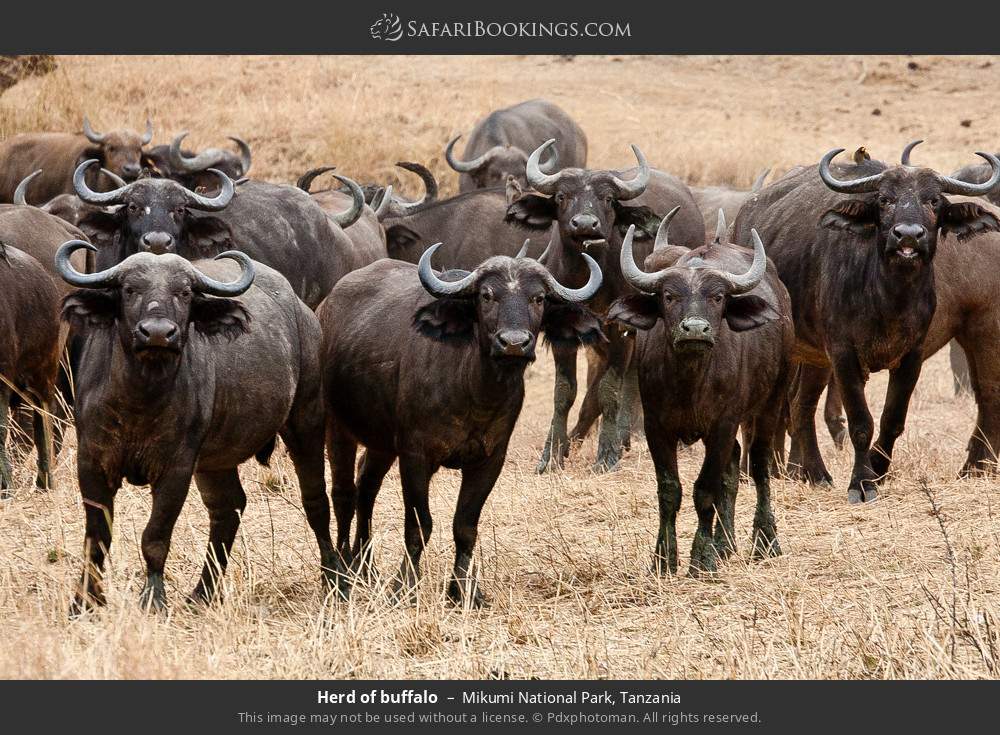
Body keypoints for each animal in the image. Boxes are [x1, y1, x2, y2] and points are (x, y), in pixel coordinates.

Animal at [57, 241, 334, 614]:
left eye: (185, 292)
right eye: (129, 289)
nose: (158, 333)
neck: (140, 399)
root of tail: (303, 313)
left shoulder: (177, 468)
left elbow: (155, 536)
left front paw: (154, 599)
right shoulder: (92, 461)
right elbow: (97, 536)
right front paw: (84, 601)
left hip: (307, 417)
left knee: (315, 499)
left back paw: (335, 579)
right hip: (216, 459)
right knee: (228, 509)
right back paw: (202, 593)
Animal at [320, 243, 604, 605]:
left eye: (538, 298)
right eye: (487, 295)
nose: (514, 343)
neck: (474, 390)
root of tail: (326, 306)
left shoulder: (490, 460)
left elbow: (465, 526)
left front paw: (465, 590)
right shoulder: (415, 456)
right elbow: (419, 524)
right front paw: (405, 587)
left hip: (381, 442)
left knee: (366, 486)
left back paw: (365, 566)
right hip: (337, 427)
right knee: (343, 492)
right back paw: (342, 570)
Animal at [609, 213, 792, 574]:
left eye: (718, 297)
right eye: (668, 296)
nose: (695, 329)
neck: (689, 382)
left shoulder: (722, 424)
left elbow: (705, 489)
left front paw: (701, 558)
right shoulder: (656, 427)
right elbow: (670, 490)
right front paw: (664, 558)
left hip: (771, 402)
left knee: (759, 464)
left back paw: (765, 541)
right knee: (733, 467)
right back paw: (725, 543)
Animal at [733, 146, 1000, 503]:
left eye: (933, 201)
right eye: (885, 199)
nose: (908, 236)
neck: (888, 296)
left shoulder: (911, 357)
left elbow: (892, 420)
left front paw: (877, 467)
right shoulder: (844, 354)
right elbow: (861, 422)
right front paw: (862, 482)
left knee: (801, 406)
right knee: (776, 408)